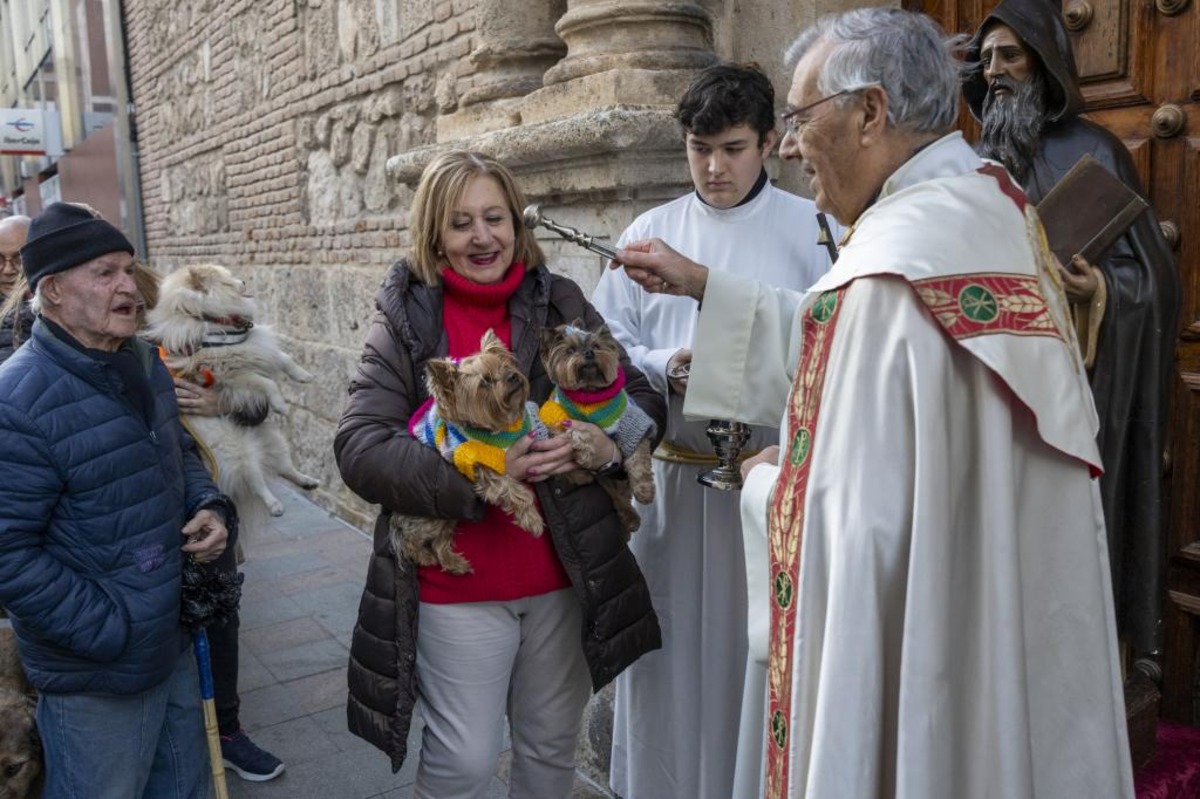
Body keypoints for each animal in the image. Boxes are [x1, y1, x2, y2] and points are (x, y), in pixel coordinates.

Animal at [145, 262, 319, 523]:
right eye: (228, 282)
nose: (244, 282)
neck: (215, 322)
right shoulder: (232, 374)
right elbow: (266, 383)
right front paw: (280, 404)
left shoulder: (253, 348)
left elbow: (284, 358)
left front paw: (303, 375)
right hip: (239, 452)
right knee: (257, 482)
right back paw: (274, 504)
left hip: (272, 440)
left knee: (284, 468)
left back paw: (307, 481)